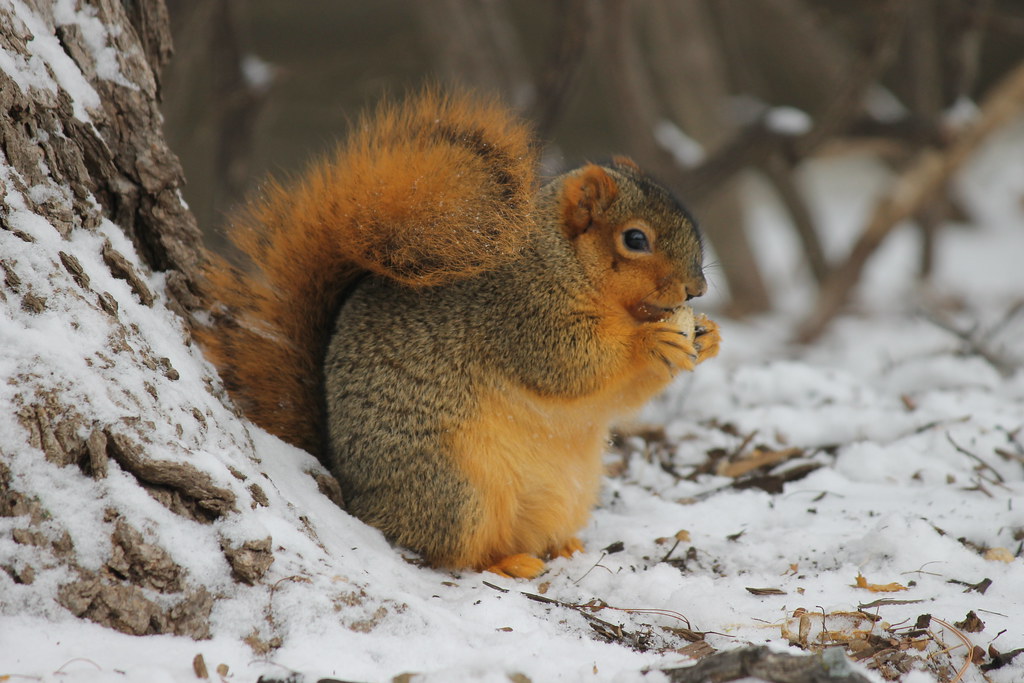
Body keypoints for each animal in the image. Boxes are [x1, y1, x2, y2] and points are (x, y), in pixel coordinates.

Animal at [198, 90, 720, 579]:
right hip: (455, 491)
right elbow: (569, 366)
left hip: (563, 494)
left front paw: (708, 336)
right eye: (635, 239)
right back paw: (506, 563)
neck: (561, 258)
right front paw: (651, 342)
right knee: (455, 552)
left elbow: (615, 399)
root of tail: (354, 491)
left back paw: (564, 547)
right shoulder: (520, 312)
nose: (697, 290)